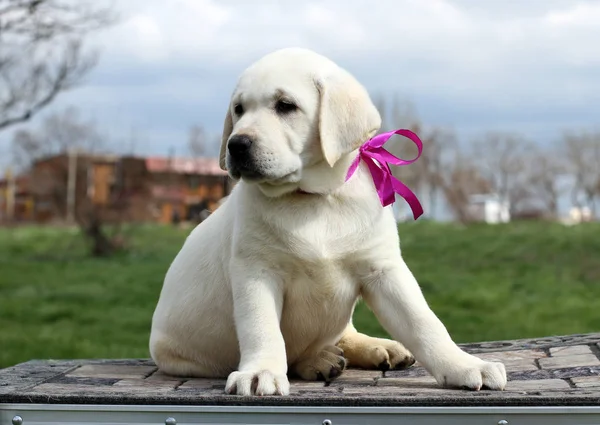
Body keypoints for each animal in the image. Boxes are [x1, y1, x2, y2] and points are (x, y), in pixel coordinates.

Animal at [148, 48, 504, 396]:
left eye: (285, 105)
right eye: (239, 109)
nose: (236, 145)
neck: (314, 198)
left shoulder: (383, 269)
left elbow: (424, 322)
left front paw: (463, 365)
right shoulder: (256, 272)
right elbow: (262, 328)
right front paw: (261, 372)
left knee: (345, 333)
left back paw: (375, 348)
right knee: (299, 353)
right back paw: (320, 360)